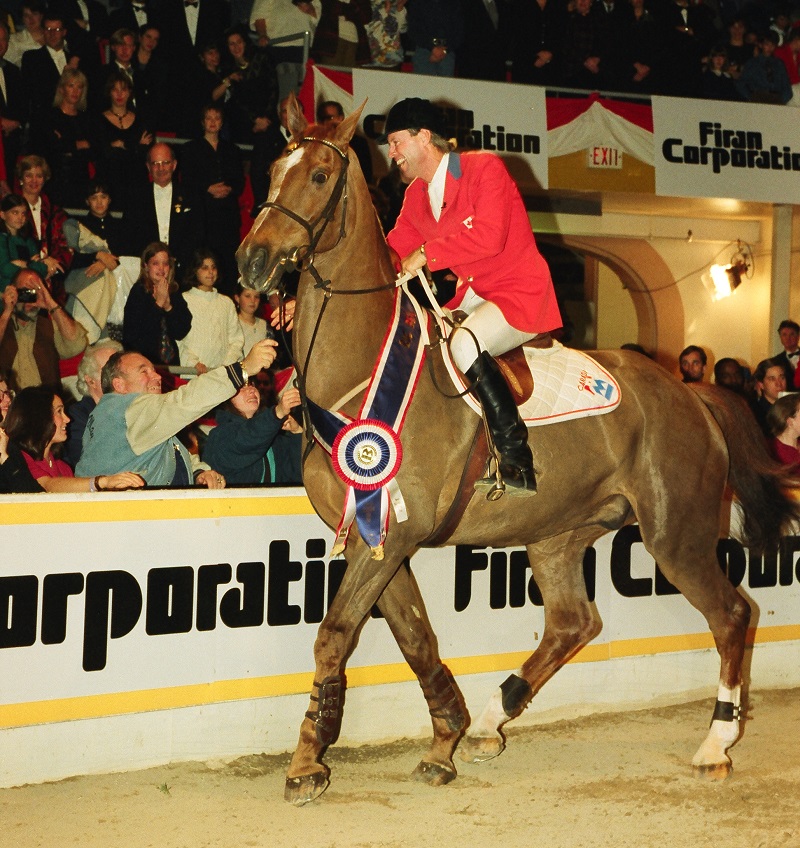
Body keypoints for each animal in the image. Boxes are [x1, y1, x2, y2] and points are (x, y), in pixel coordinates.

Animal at [237, 96, 800, 806]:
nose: (251, 262)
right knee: (573, 622)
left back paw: (715, 744)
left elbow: (336, 635)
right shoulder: (379, 534)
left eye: (316, 177)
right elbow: (415, 637)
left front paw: (308, 762)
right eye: (270, 170)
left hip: (677, 535)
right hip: (558, 533)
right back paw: (492, 719)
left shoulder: (392, 532)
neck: (360, 366)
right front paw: (444, 739)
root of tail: (689, 391)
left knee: (730, 615)